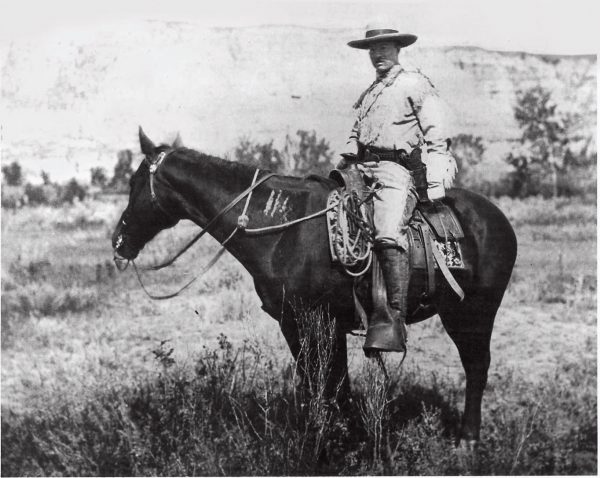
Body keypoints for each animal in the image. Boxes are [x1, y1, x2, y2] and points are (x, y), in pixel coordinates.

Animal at [115, 128, 516, 448]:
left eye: (134, 184)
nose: (119, 241)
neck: (283, 227)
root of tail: (497, 217)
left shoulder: (316, 321)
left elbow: (326, 384)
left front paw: (327, 446)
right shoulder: (300, 323)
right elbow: (325, 385)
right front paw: (340, 437)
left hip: (473, 313)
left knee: (477, 368)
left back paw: (468, 440)